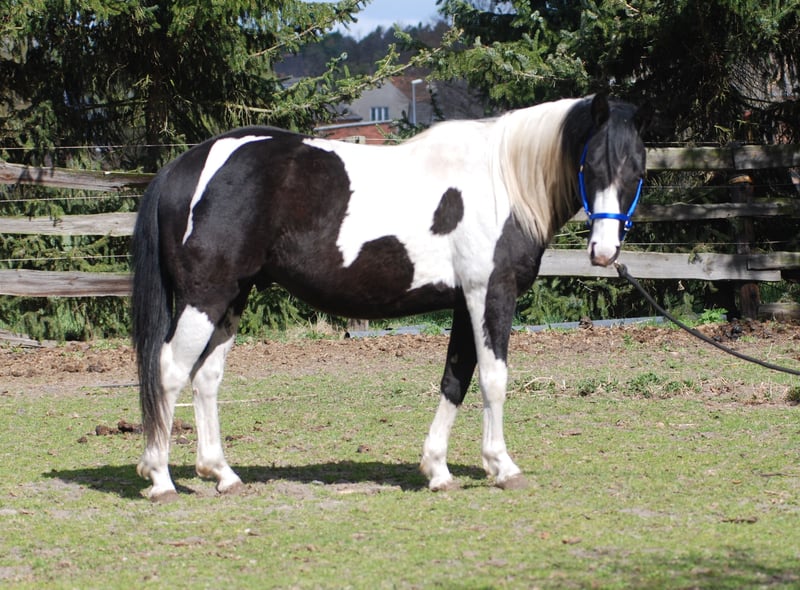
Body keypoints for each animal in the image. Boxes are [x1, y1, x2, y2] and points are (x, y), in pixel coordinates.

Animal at [131, 93, 647, 502]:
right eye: (591, 164)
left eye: (638, 168)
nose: (604, 251)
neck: (502, 183)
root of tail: (182, 167)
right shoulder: (490, 294)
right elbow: (493, 379)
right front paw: (502, 466)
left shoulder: (465, 302)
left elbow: (455, 379)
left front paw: (437, 470)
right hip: (205, 296)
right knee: (170, 371)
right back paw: (160, 479)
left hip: (232, 298)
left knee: (206, 377)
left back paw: (222, 473)